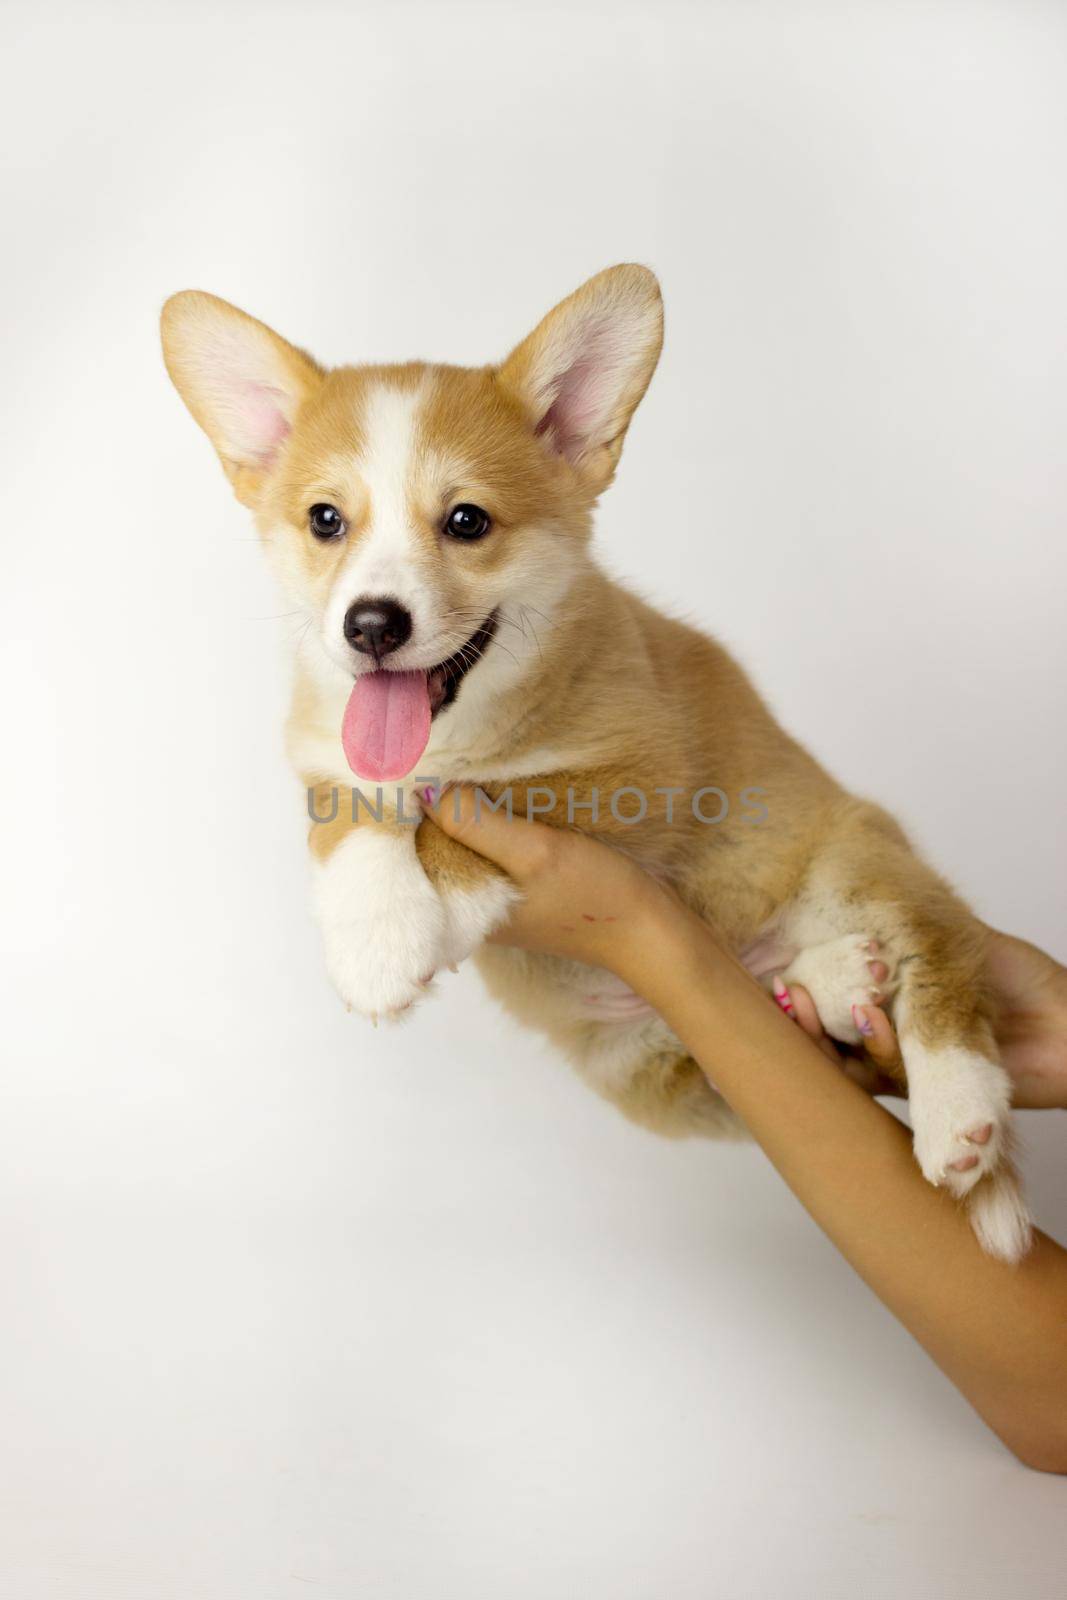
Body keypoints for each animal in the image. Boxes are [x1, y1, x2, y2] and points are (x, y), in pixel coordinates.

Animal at [163, 265, 1030, 1260]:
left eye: (466, 521)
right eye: (325, 520)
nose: (370, 625)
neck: (456, 726)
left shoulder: (634, 770)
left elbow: (476, 807)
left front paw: (417, 924)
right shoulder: (324, 763)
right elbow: (353, 822)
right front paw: (371, 933)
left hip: (861, 853)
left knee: (942, 957)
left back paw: (958, 1113)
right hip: (653, 1065)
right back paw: (838, 975)